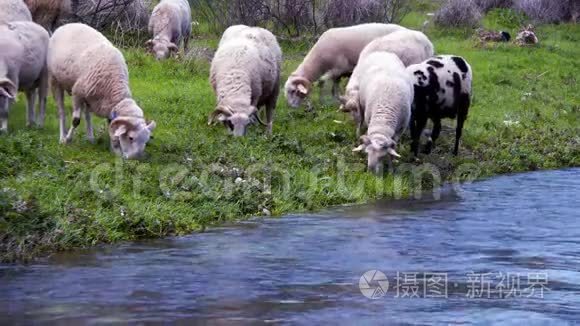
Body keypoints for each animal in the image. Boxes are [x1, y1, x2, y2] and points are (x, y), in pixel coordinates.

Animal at [47, 23, 156, 159]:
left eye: (146, 141)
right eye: (131, 138)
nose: (134, 158)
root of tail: (67, 24)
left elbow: (110, 127)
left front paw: (115, 150)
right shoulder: (77, 93)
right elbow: (76, 120)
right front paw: (68, 139)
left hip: (88, 97)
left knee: (87, 114)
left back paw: (90, 137)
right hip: (55, 80)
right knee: (61, 110)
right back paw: (62, 137)